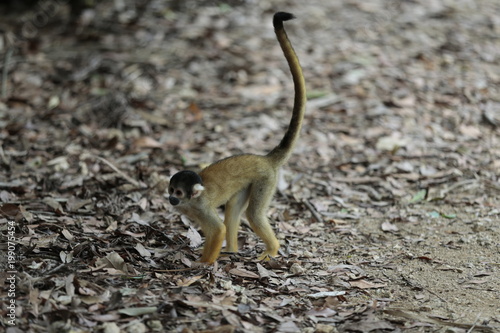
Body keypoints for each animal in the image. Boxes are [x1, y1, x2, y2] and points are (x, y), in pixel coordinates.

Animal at [168, 11, 304, 264]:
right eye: (171, 190)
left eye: (178, 193)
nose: (171, 199)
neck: (190, 202)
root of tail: (265, 159)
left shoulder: (200, 207)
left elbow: (217, 230)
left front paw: (203, 264)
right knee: (233, 209)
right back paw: (232, 250)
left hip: (264, 180)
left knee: (253, 214)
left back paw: (272, 250)